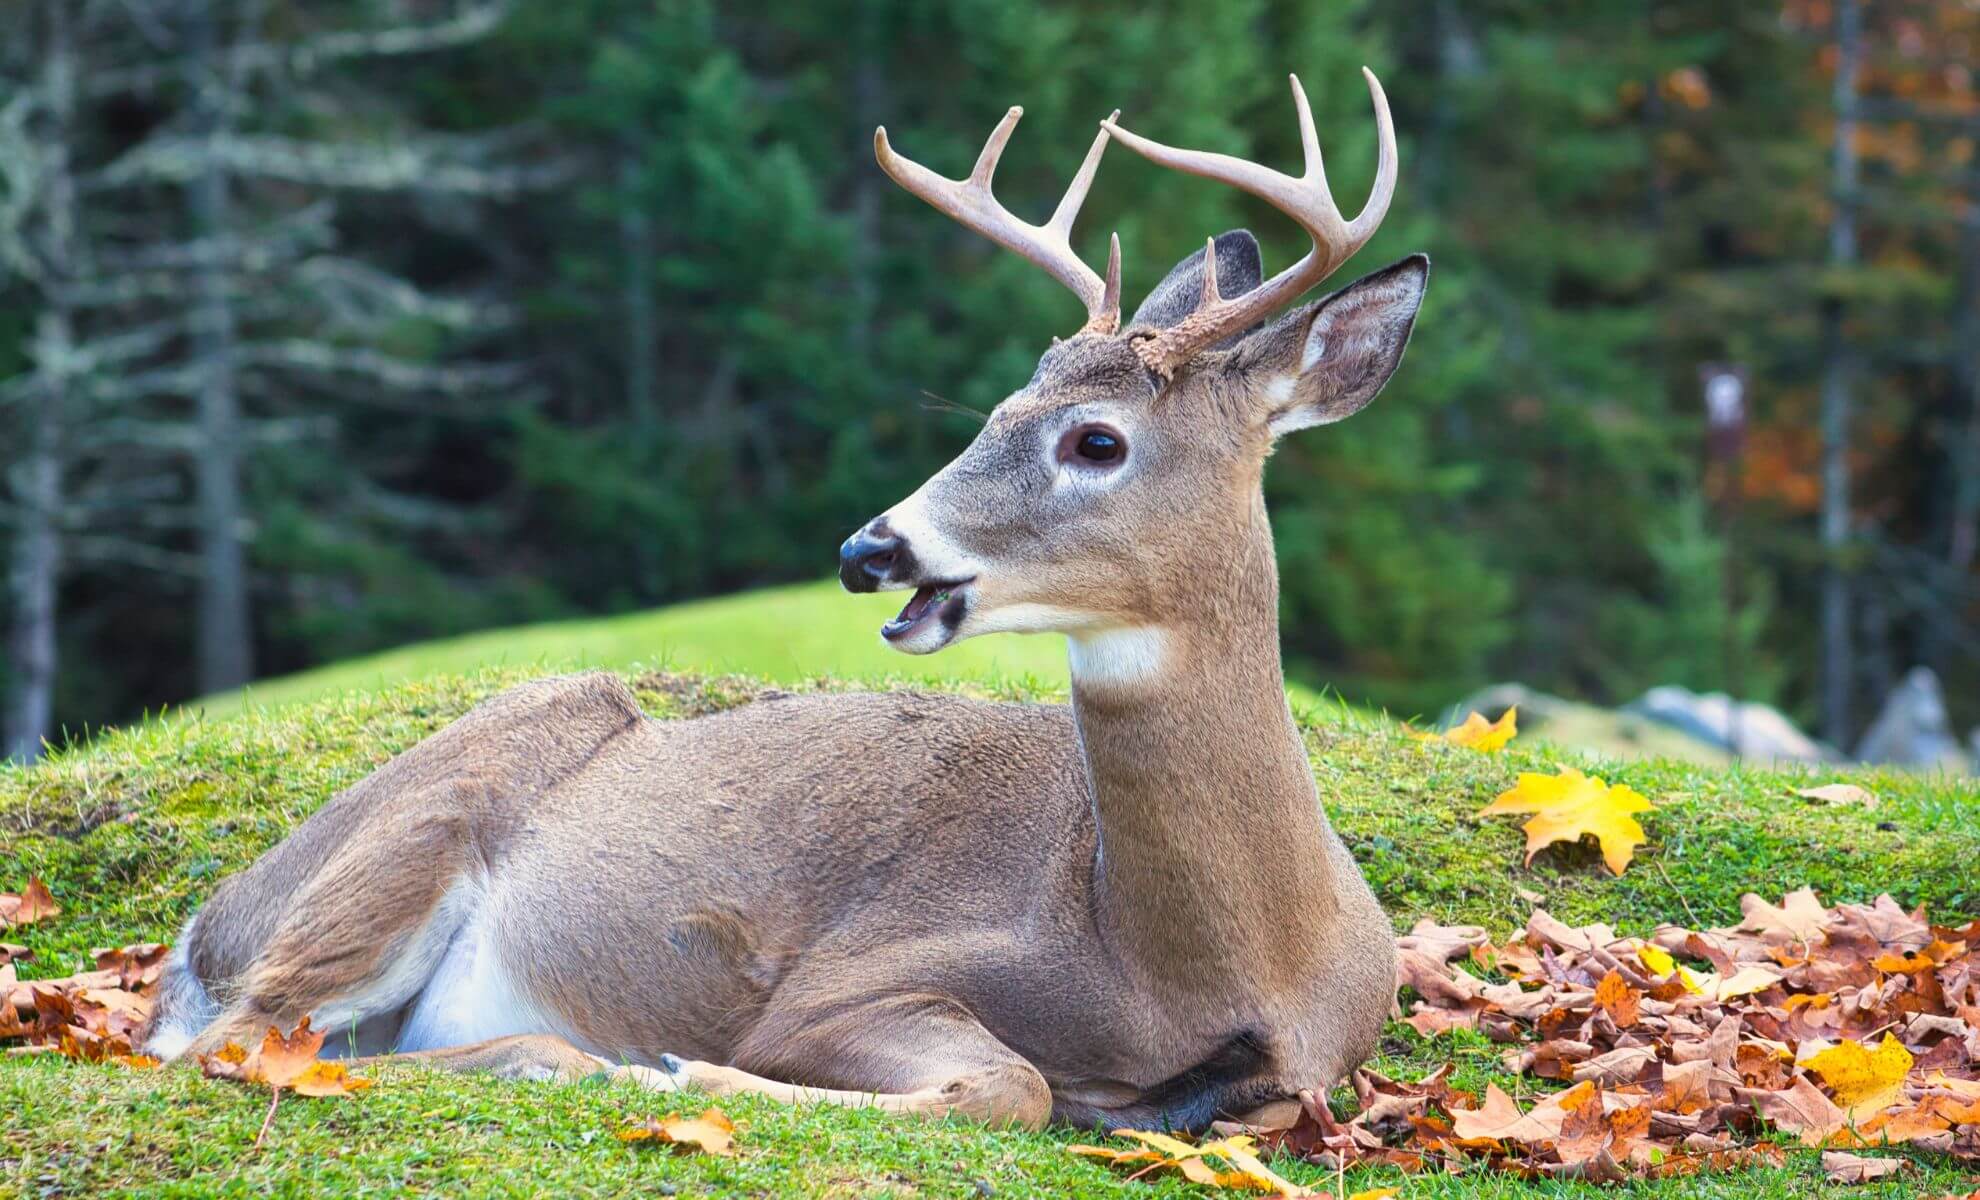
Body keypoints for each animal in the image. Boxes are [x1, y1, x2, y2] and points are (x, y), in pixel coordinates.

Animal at [146, 70, 1433, 1132]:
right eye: (993, 410)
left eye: (1097, 439)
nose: (870, 547)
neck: (1206, 961)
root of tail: (200, 933)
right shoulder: (841, 984)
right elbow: (1008, 1086)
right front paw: (688, 1072)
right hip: (425, 819)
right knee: (238, 1044)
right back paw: (578, 1059)